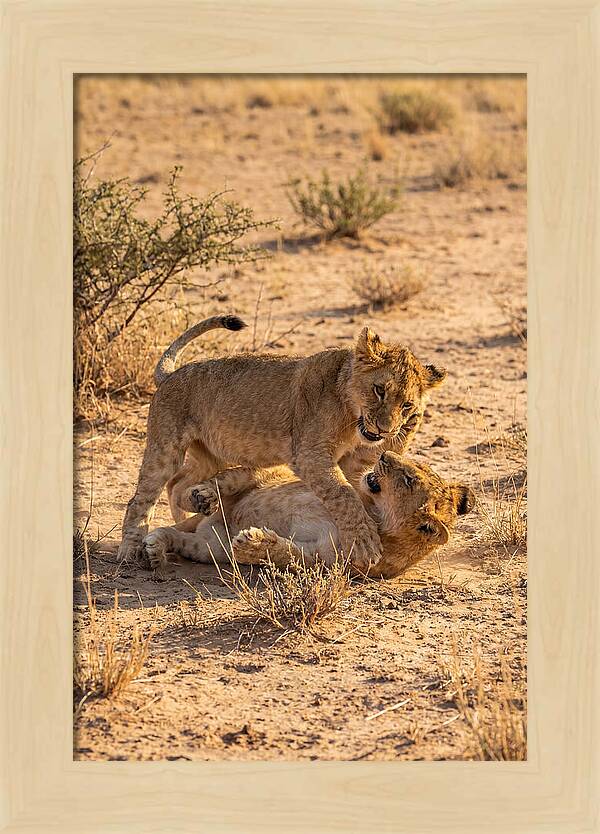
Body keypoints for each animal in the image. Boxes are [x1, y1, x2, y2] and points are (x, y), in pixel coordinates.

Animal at [118, 314, 446, 570]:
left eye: (407, 405)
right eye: (379, 390)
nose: (385, 429)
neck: (351, 415)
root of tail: (171, 374)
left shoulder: (354, 462)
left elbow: (353, 489)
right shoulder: (311, 455)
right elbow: (344, 494)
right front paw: (365, 542)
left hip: (211, 455)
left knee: (178, 484)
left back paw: (195, 509)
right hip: (166, 447)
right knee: (141, 498)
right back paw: (131, 550)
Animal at [142, 451, 475, 580]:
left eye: (408, 479)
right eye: (413, 466)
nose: (383, 454)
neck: (373, 512)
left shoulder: (323, 560)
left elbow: (286, 554)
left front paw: (253, 543)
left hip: (210, 548)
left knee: (179, 537)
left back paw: (155, 549)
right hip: (260, 477)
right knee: (230, 479)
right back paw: (201, 497)